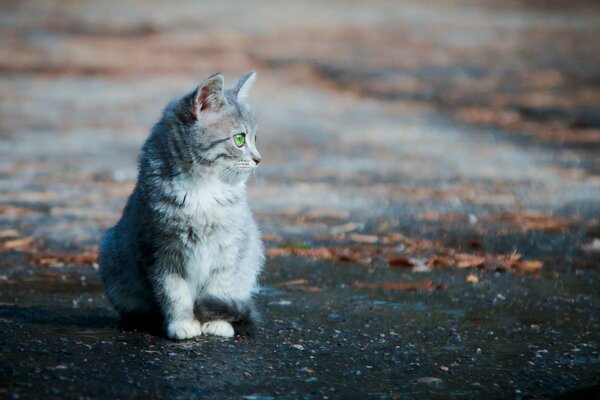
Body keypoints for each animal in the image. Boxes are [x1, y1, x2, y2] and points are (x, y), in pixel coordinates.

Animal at [99, 70, 264, 340]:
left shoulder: (231, 249)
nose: (258, 159)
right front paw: (182, 323)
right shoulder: (160, 253)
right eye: (240, 139)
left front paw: (217, 323)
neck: (204, 189)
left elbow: (221, 288)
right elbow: (174, 294)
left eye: (255, 138)